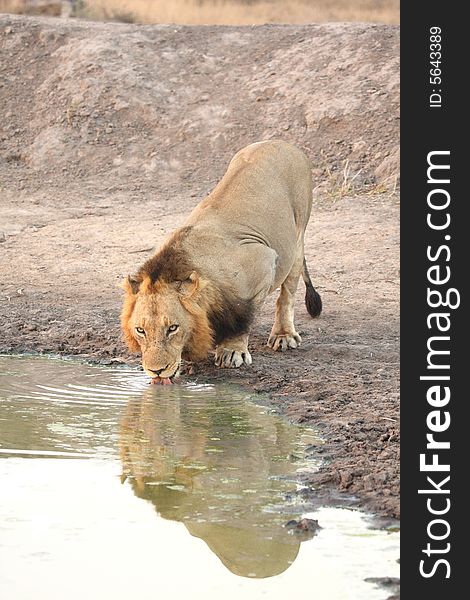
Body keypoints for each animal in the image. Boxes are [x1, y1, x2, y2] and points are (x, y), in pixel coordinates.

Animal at [119, 141, 322, 382]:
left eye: (173, 328)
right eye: (140, 330)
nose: (156, 370)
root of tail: (282, 143)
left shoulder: (263, 261)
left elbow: (244, 318)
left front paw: (232, 351)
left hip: (297, 238)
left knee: (287, 293)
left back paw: (284, 335)